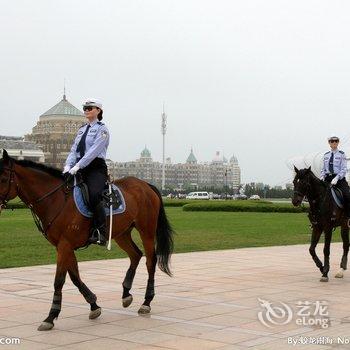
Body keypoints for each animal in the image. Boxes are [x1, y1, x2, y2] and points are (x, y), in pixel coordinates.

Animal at [0, 150, 174, 330]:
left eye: (3, 179)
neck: (56, 199)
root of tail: (146, 185)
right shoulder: (63, 246)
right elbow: (75, 277)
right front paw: (93, 305)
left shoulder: (64, 245)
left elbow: (59, 280)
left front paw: (51, 316)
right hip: (121, 233)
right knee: (135, 255)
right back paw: (126, 294)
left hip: (147, 231)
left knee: (150, 261)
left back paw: (146, 302)